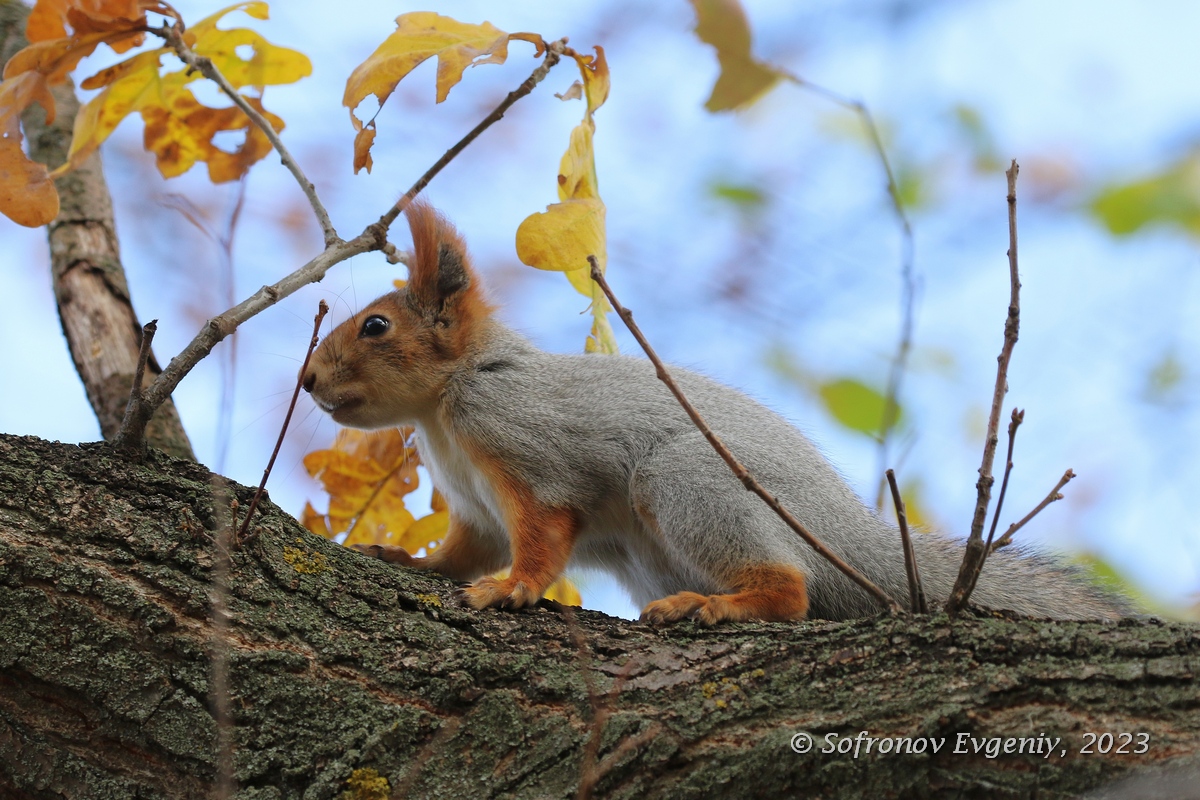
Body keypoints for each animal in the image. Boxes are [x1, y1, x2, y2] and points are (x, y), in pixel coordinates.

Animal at [300, 200, 1123, 623]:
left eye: (375, 327)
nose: (306, 380)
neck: (444, 409)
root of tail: (846, 534)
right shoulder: (474, 508)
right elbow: (465, 551)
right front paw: (403, 560)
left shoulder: (526, 448)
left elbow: (540, 537)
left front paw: (514, 588)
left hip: (692, 483)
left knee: (791, 594)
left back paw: (717, 607)